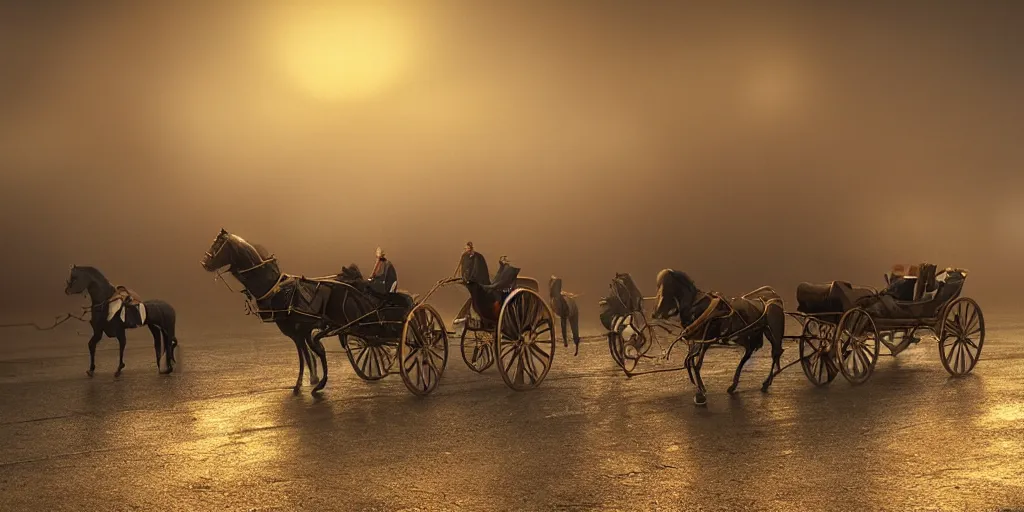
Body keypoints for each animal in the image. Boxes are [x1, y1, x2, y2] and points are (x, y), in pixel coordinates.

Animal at [651, 270, 786, 405]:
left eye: (665, 288)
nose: (654, 314)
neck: (697, 307)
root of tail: (774, 297)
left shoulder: (705, 341)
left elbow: (697, 364)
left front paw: (700, 393)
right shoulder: (696, 341)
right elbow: (690, 360)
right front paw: (699, 387)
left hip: (772, 332)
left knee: (776, 353)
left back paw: (766, 383)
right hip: (746, 336)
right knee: (749, 354)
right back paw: (734, 385)